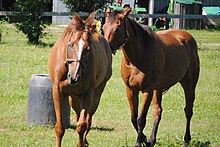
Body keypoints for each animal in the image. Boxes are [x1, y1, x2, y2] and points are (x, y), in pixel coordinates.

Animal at [48, 12, 112, 146]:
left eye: (88, 49)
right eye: (71, 44)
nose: (74, 77)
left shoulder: (88, 94)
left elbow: (82, 125)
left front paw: (81, 142)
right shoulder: (57, 92)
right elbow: (60, 128)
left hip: (96, 94)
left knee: (88, 119)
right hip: (74, 97)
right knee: (78, 114)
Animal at [102, 8, 199, 147]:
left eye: (117, 28)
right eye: (103, 28)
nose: (106, 48)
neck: (138, 57)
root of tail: (187, 37)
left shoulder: (147, 90)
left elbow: (141, 119)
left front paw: (139, 142)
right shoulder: (131, 89)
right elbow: (134, 117)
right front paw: (145, 139)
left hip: (189, 84)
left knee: (188, 111)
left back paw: (186, 139)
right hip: (157, 89)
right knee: (157, 111)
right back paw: (153, 140)